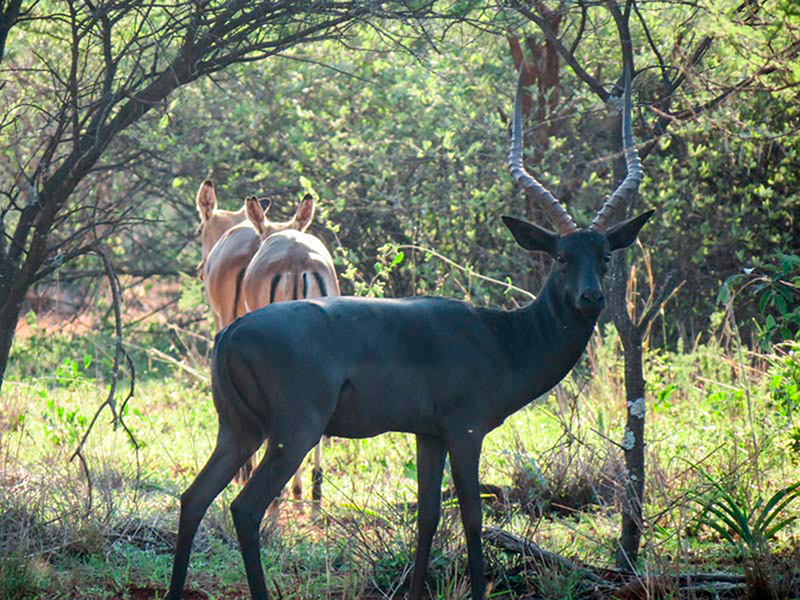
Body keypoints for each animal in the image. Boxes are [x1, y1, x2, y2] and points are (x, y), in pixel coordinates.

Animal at [168, 63, 651, 600]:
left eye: (604, 255)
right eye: (562, 256)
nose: (592, 298)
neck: (503, 338)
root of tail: (229, 336)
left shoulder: (428, 435)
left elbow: (428, 517)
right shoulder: (465, 431)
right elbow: (472, 518)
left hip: (239, 429)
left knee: (193, 498)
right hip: (292, 432)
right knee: (244, 508)